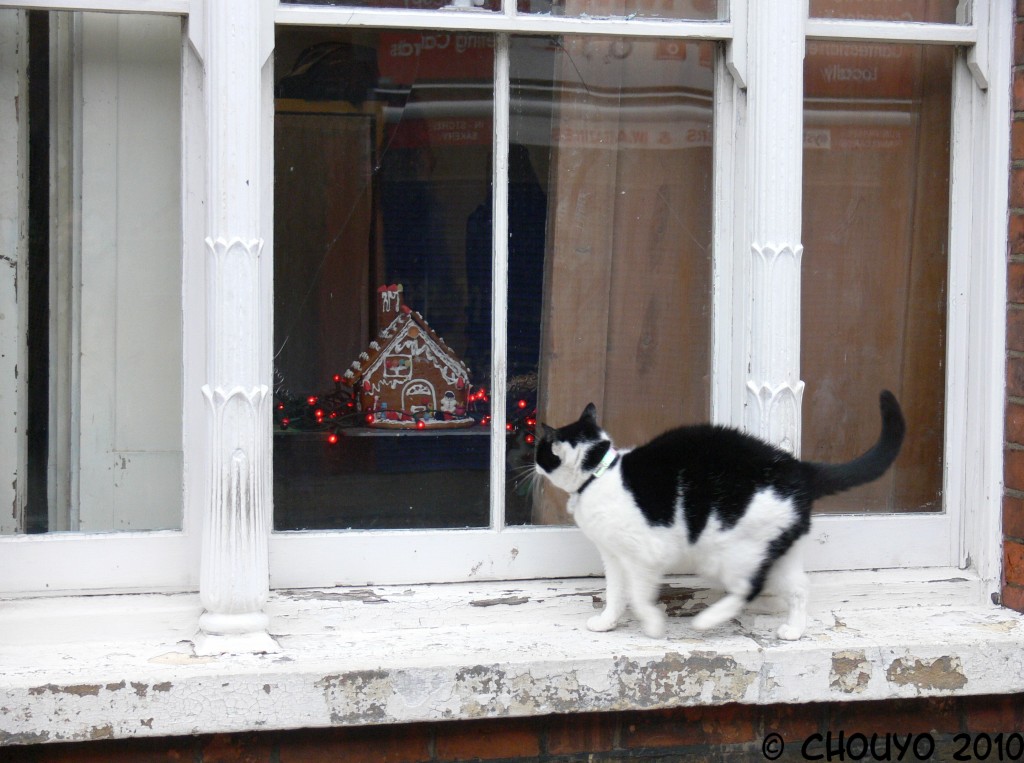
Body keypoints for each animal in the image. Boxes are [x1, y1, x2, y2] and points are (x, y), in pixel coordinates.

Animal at [536, 393, 905, 634]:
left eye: (541, 450)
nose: (533, 462)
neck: (600, 473)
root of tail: (798, 469)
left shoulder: (646, 554)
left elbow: (639, 596)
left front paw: (653, 625)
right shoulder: (614, 556)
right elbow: (615, 594)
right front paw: (606, 623)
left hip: (728, 552)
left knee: (749, 588)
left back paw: (707, 620)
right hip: (778, 547)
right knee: (799, 586)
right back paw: (793, 631)